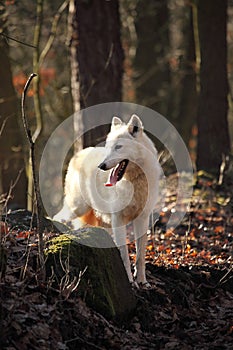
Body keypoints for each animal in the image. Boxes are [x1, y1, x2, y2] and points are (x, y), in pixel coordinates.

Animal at [53, 115, 161, 288]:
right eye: (109, 147)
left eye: (118, 147)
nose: (101, 165)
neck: (134, 181)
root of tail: (79, 153)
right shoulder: (118, 218)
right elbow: (123, 252)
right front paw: (129, 281)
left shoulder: (142, 218)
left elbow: (140, 255)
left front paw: (142, 281)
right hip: (78, 207)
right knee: (59, 217)